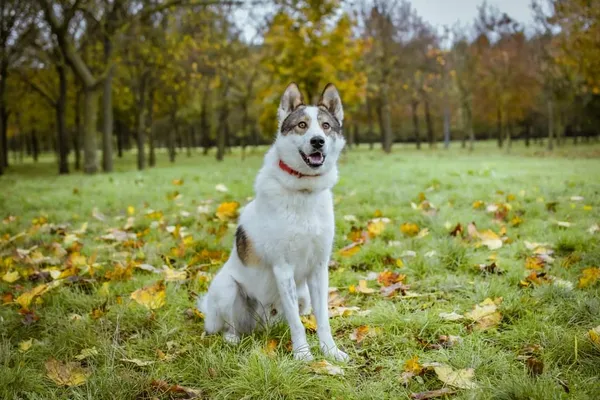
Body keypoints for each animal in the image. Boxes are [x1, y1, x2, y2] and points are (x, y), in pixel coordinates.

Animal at [197, 82, 346, 362]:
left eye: (325, 126)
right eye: (302, 125)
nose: (318, 141)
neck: (303, 191)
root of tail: (260, 325)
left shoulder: (319, 270)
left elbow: (322, 319)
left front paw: (330, 351)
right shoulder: (283, 268)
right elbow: (297, 324)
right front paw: (303, 355)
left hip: (303, 295)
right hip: (226, 289)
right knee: (229, 326)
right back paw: (232, 338)